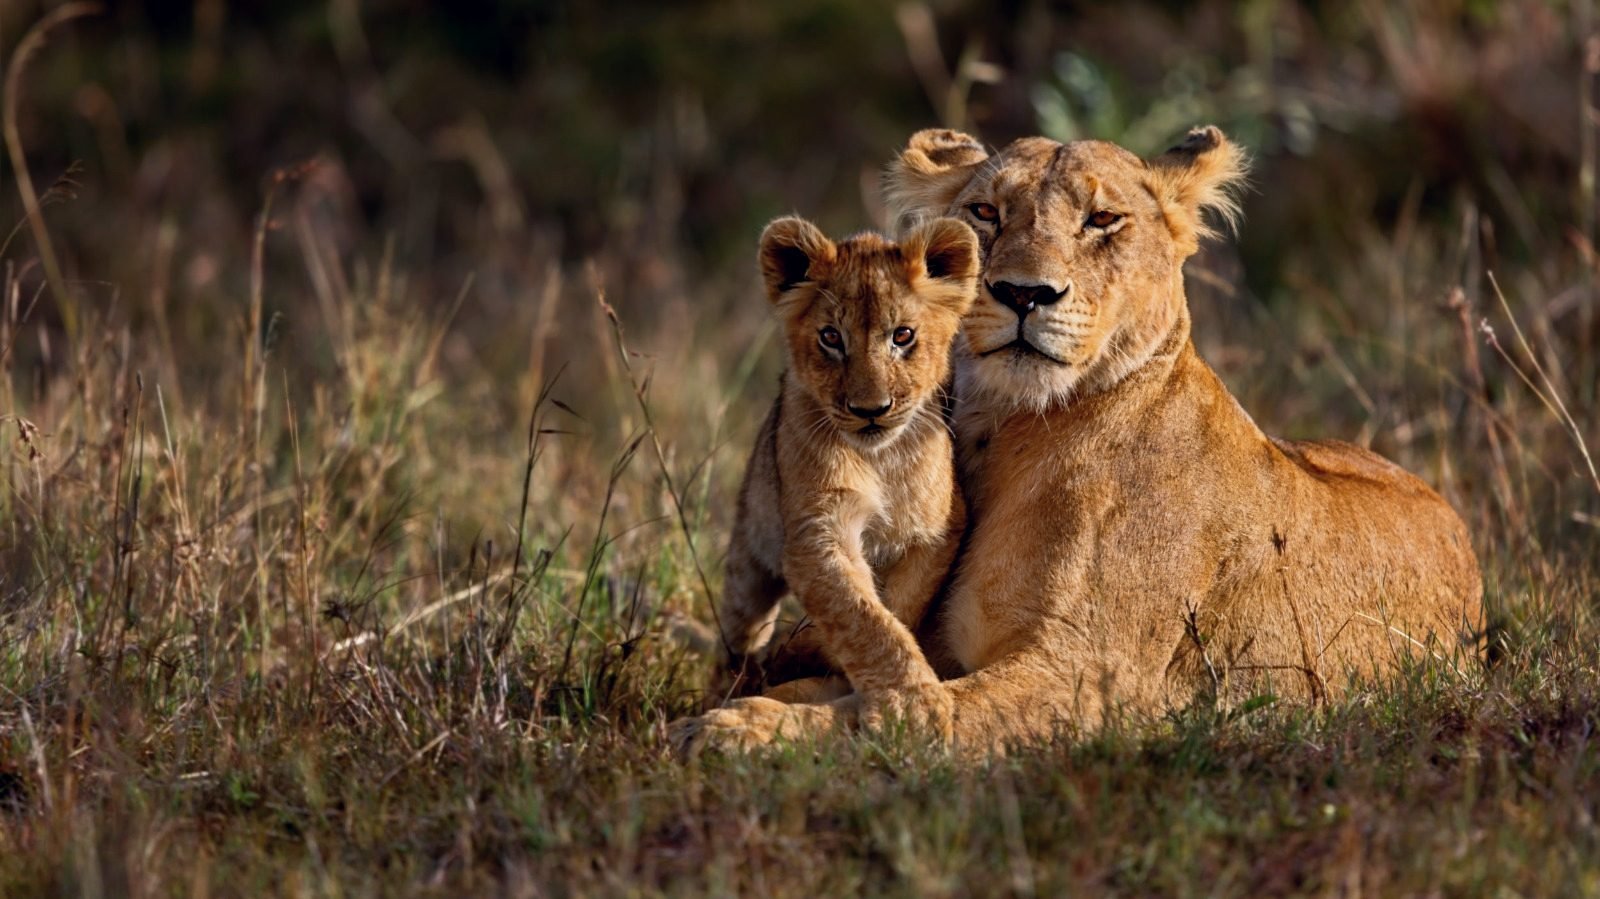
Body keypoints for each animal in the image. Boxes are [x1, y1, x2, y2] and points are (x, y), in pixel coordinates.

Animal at [684, 215, 980, 738]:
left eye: (902, 335)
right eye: (831, 338)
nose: (870, 410)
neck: (881, 459)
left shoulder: (937, 531)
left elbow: (896, 607)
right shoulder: (817, 531)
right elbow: (861, 615)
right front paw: (913, 705)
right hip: (748, 560)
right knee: (740, 631)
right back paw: (731, 681)